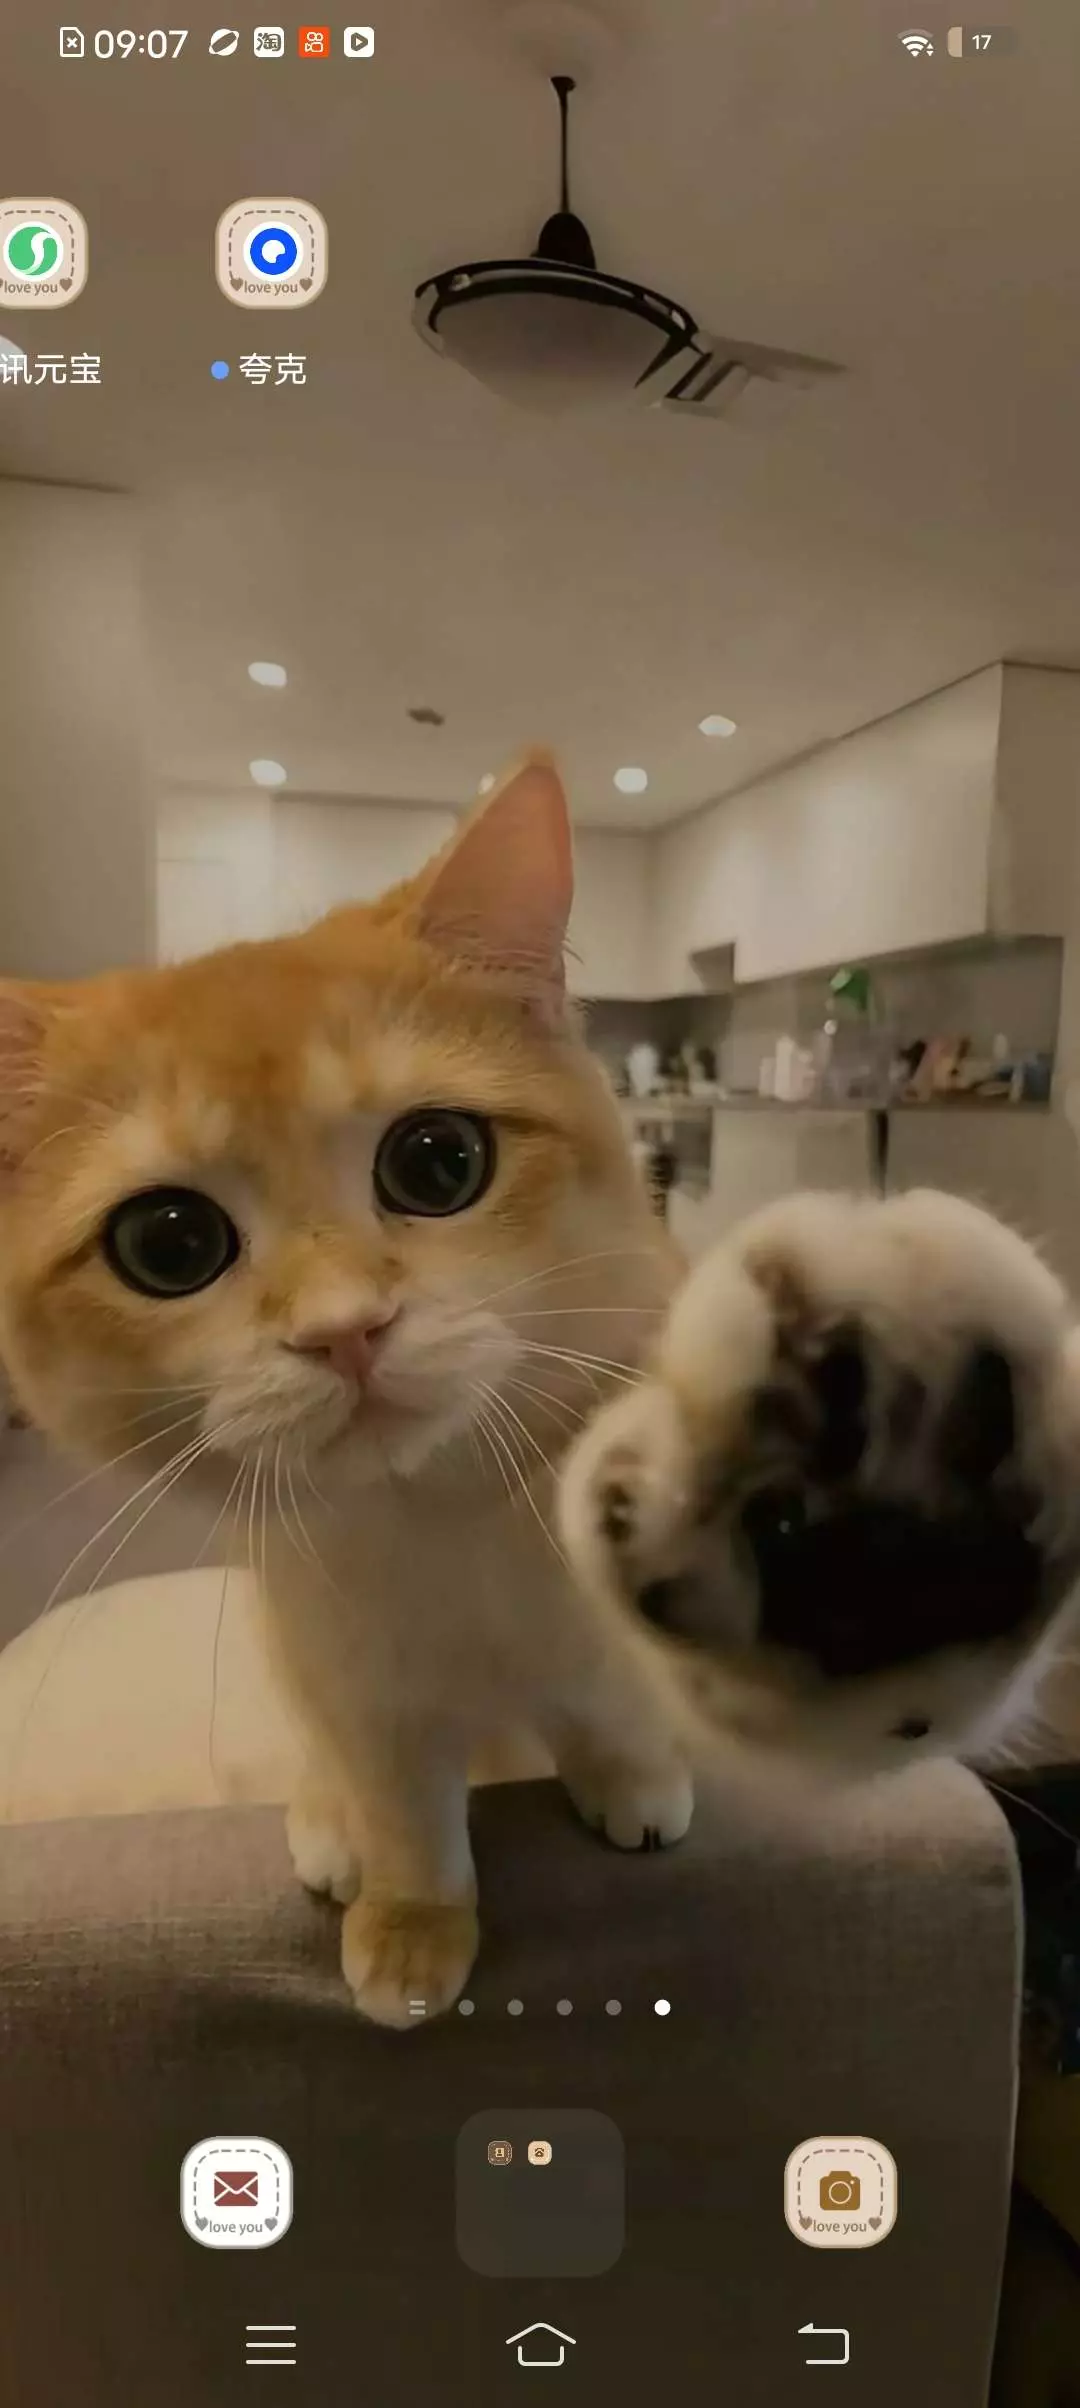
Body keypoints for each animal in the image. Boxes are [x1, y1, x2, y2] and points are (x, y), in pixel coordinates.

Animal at [0, 757, 693, 2027]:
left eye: (439, 1160)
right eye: (167, 1242)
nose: (344, 1330)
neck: (441, 1510)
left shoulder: (611, 1604)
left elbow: (607, 1693)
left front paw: (633, 1781)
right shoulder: (353, 1674)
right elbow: (402, 1803)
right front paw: (413, 1921)